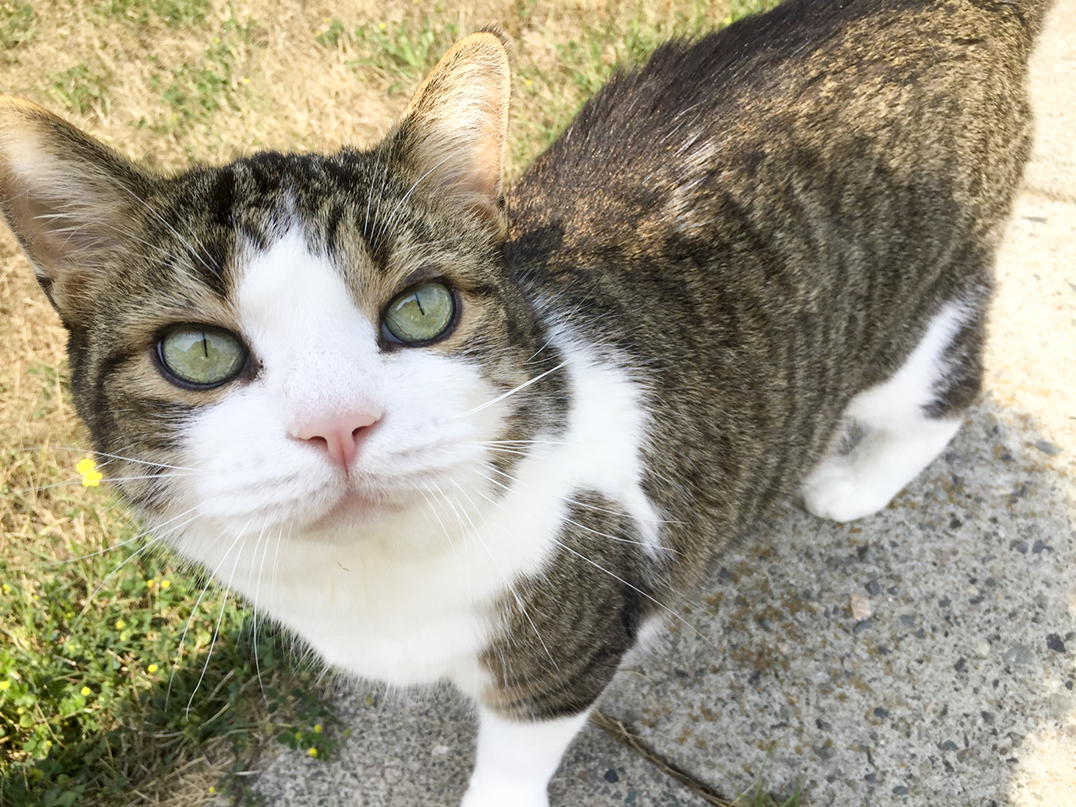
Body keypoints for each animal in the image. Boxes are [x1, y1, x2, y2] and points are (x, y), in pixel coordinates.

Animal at [0, 0, 1050, 804]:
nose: (339, 424)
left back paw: (856, 480)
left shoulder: (566, 645)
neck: (376, 583)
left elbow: (517, 748)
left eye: (421, 309)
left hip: (913, 314)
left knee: (945, 387)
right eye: (200, 353)